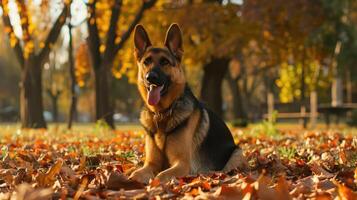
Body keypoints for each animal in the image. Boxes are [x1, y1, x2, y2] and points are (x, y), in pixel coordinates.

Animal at [129, 23, 246, 183]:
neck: (162, 113)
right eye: (146, 62)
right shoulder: (151, 164)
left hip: (237, 153)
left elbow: (161, 175)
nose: (150, 77)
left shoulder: (182, 164)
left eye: (165, 62)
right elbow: (135, 174)